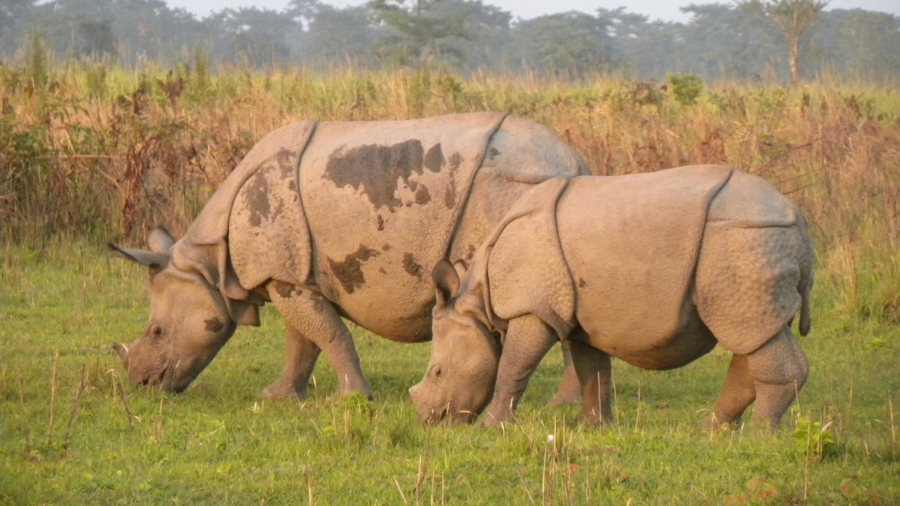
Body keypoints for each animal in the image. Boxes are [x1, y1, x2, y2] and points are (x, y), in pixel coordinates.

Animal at [109, 112, 590, 401]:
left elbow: (328, 334)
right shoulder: (291, 274)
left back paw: (559, 404)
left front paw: (352, 398)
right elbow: (303, 340)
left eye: (156, 331)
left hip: (512, 187)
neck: (209, 261)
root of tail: (575, 163)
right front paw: (278, 397)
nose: (142, 384)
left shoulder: (282, 274)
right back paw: (566, 405)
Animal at [410, 165, 814, 430]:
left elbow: (513, 367)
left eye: (438, 371)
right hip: (753, 248)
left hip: (744, 240)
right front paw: (592, 427)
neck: (479, 305)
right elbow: (593, 370)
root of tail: (797, 218)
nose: (431, 420)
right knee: (757, 335)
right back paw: (713, 433)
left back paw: (759, 436)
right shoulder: (581, 320)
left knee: (751, 334)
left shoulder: (534, 309)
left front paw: (491, 427)